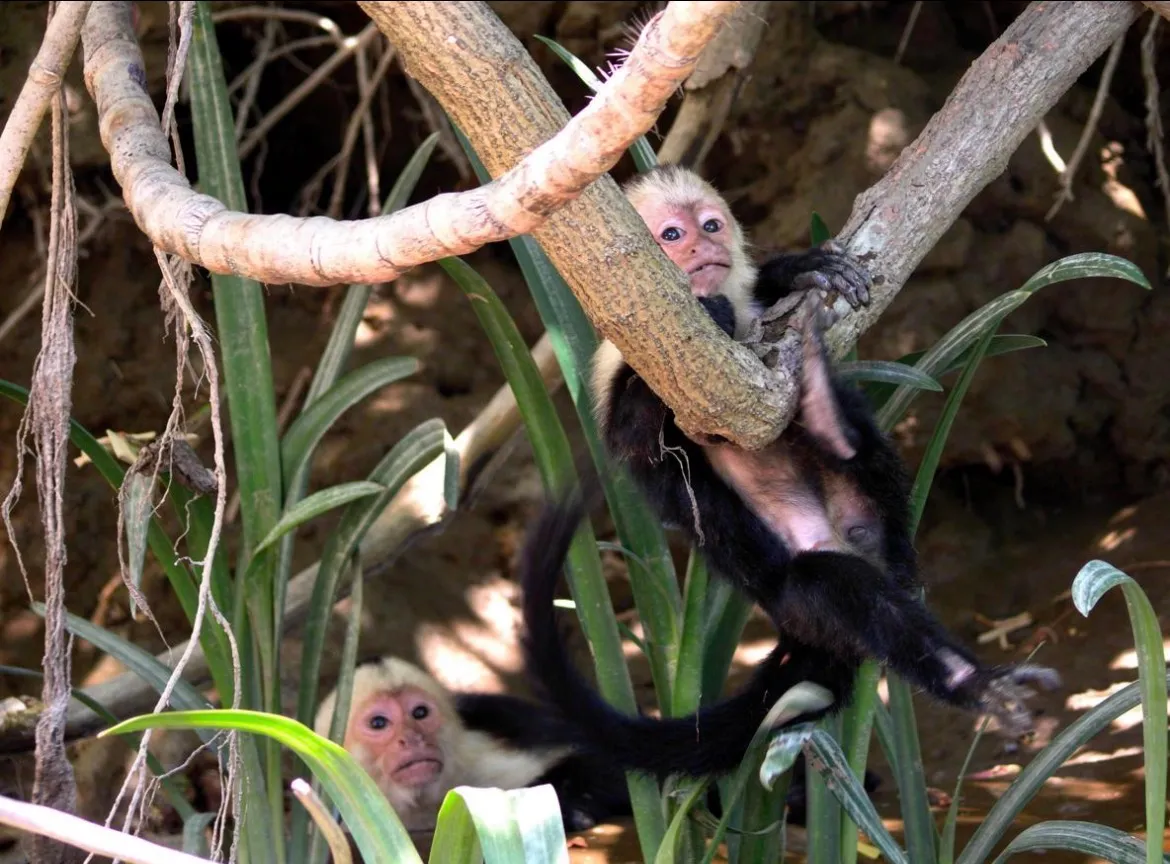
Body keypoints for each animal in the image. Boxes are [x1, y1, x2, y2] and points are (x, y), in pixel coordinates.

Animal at [314, 656, 631, 835]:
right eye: (378, 723)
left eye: (419, 713)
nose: (413, 739)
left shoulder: (477, 757)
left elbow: (602, 760)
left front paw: (569, 807)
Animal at [519, 164, 1060, 781]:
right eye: (672, 235)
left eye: (710, 225)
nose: (703, 247)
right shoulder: (616, 355)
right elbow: (637, 440)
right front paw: (715, 316)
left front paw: (799, 268)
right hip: (802, 607)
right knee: (833, 585)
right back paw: (970, 682)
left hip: (881, 526)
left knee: (858, 460)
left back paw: (829, 416)